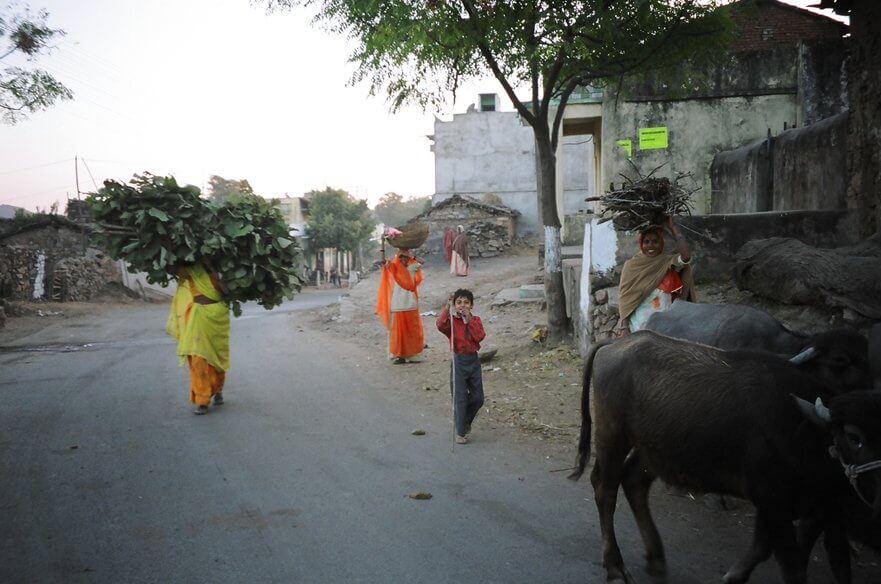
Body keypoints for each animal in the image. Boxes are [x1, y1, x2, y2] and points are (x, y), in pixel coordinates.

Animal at [569, 331, 881, 584]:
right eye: (854, 437)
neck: (802, 428)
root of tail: (616, 343)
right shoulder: (771, 498)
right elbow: (792, 566)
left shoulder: (811, 509)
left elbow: (772, 549)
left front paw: (734, 576)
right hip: (613, 434)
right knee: (605, 489)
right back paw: (615, 566)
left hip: (654, 449)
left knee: (634, 483)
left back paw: (655, 557)